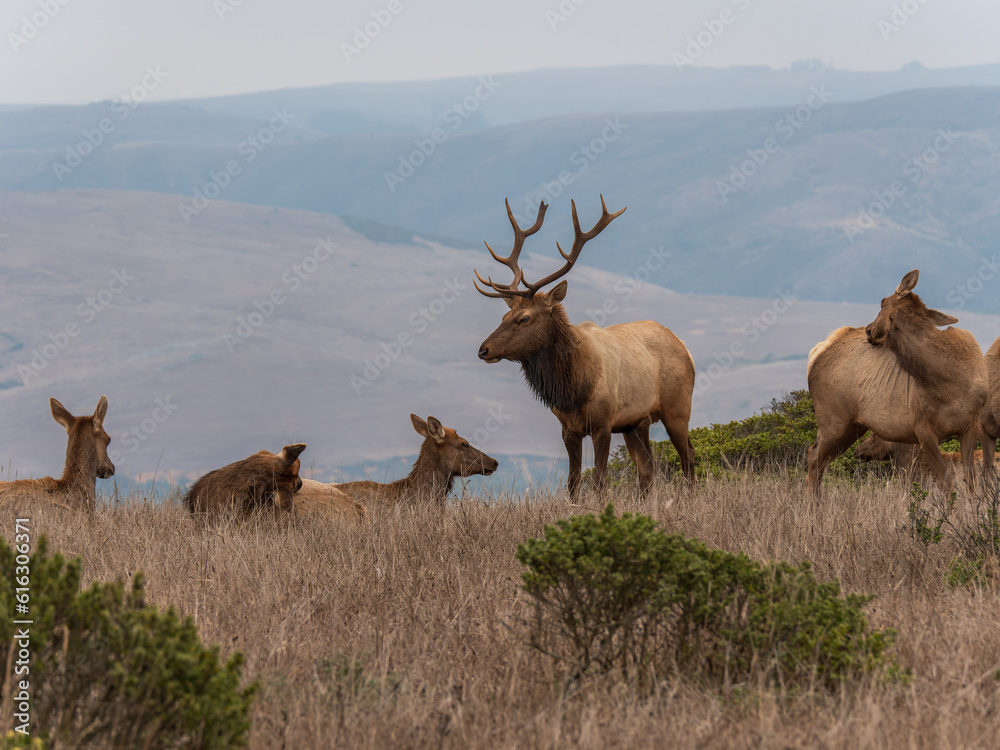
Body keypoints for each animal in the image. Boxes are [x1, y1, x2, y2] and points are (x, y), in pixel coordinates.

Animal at [474, 195, 695, 498]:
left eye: (524, 318)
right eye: (504, 316)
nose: (483, 349)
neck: (574, 389)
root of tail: (685, 347)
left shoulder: (603, 424)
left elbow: (599, 482)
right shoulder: (569, 429)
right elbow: (573, 483)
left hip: (677, 407)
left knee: (688, 458)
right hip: (636, 423)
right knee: (648, 470)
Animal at [807, 270, 987, 496]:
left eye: (882, 301)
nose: (868, 330)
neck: (950, 383)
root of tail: (818, 350)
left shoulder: (970, 425)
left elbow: (970, 480)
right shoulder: (922, 429)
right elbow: (946, 481)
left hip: (853, 426)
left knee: (821, 460)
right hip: (833, 420)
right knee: (814, 456)